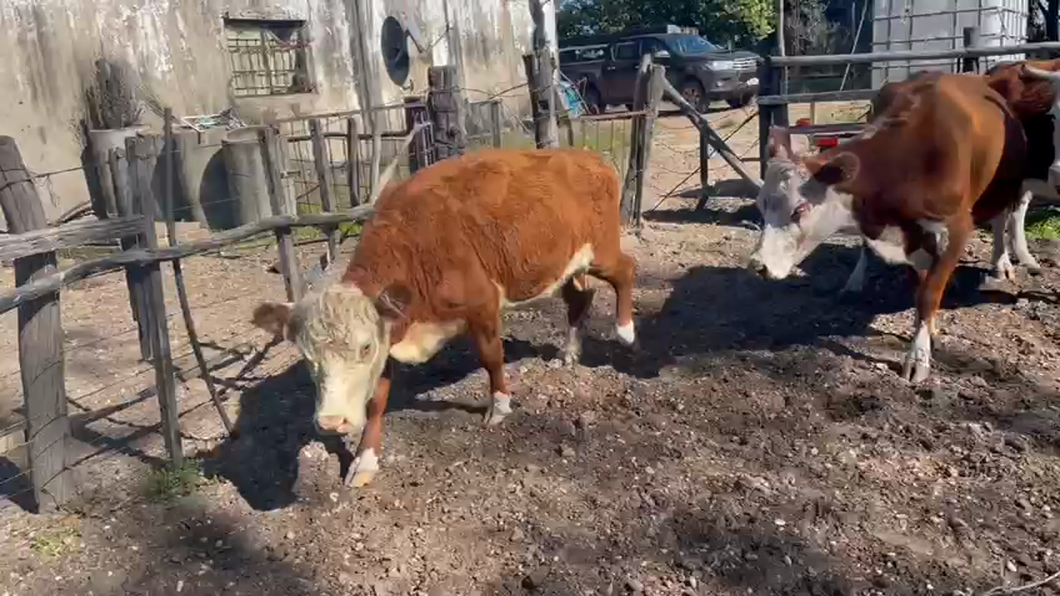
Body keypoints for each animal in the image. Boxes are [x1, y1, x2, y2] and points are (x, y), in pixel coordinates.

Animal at [746, 73, 1026, 379]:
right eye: (761, 204)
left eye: (799, 209)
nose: (757, 265)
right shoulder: (909, 238)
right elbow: (920, 287)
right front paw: (927, 330)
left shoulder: (957, 229)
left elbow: (928, 294)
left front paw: (918, 356)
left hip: (1003, 187)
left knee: (1001, 219)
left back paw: (1000, 263)